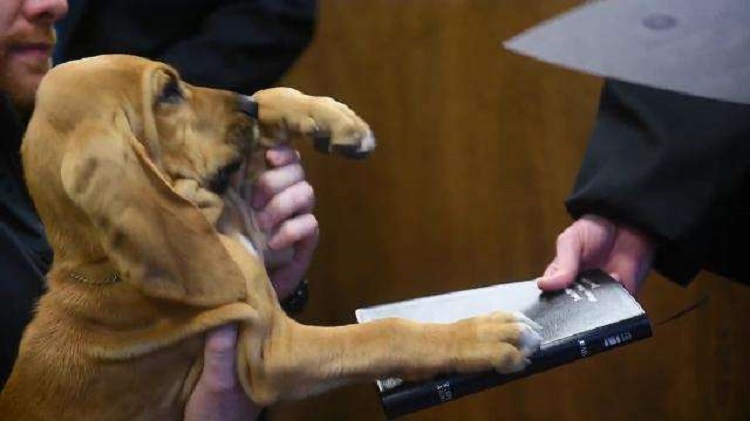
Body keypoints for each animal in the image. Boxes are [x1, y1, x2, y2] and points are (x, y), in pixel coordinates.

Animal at [0, 54, 540, 418]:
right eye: (168, 92)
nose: (243, 105)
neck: (100, 265)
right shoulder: (273, 355)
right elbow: (380, 334)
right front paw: (482, 335)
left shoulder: (244, 223)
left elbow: (270, 100)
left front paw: (331, 121)